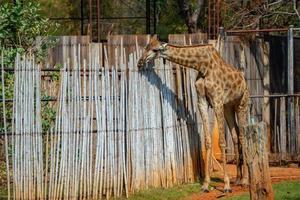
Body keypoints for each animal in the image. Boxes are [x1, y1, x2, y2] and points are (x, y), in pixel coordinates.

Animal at [137, 36, 250, 192]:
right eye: (146, 47)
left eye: (155, 49)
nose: (140, 62)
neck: (202, 66)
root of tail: (244, 80)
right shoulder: (202, 101)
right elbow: (207, 141)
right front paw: (206, 184)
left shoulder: (217, 101)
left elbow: (221, 142)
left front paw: (226, 185)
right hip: (228, 107)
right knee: (235, 135)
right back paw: (238, 179)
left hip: (241, 104)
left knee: (243, 136)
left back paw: (245, 180)